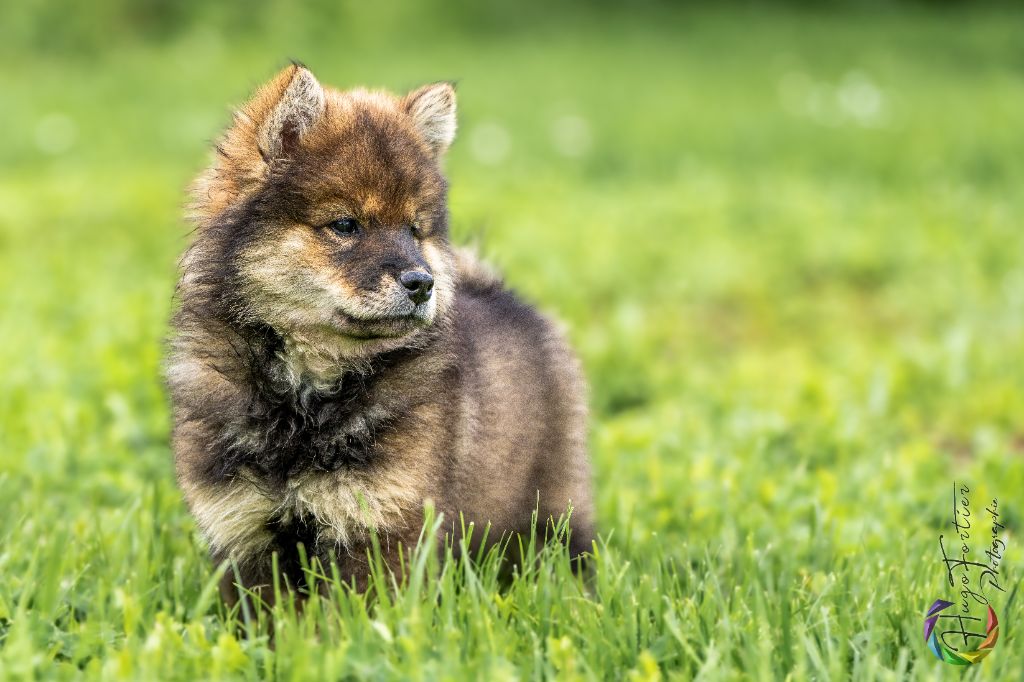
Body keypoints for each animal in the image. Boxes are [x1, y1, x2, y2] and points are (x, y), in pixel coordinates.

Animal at [166, 61, 593, 598]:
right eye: (346, 225)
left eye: (414, 230)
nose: (422, 282)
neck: (305, 398)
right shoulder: (243, 531)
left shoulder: (382, 523)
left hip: (552, 507)